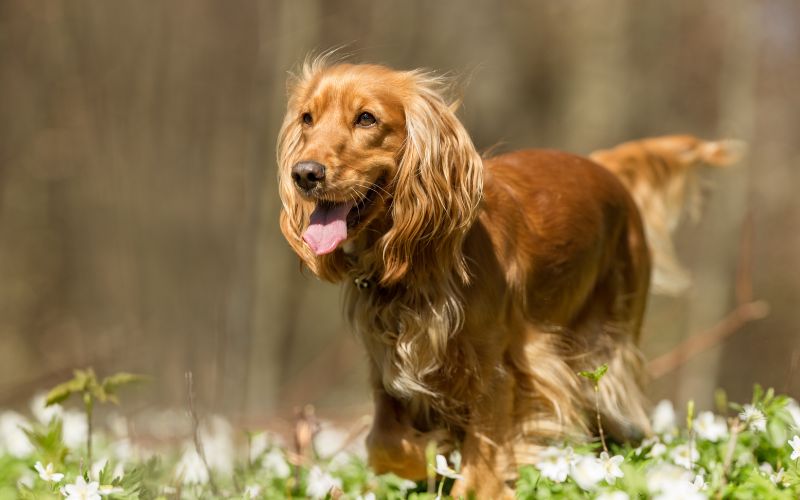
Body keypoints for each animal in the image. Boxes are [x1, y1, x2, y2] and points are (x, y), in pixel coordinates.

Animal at [278, 60, 740, 498]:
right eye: (307, 118)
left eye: (367, 119)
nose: (304, 174)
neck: (418, 265)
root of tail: (602, 165)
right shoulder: (387, 372)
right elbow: (389, 445)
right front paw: (431, 452)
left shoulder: (498, 373)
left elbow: (478, 473)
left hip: (605, 351)